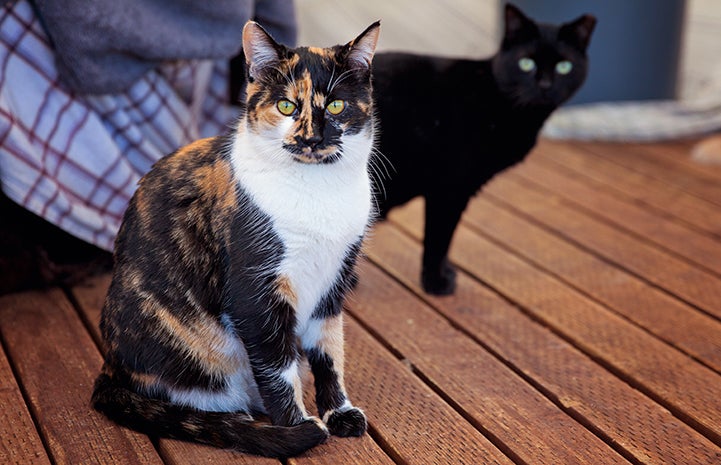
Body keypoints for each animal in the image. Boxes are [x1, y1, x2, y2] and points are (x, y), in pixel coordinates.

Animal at [91, 20, 376, 456]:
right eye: (286, 107)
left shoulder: (333, 282)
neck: (318, 190)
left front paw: (339, 412)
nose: (311, 138)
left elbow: (330, 350)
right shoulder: (254, 290)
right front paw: (298, 426)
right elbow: (278, 367)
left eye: (336, 107)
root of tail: (110, 368)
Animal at [372, 3, 596, 294]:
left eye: (564, 67)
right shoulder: (449, 190)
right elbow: (438, 241)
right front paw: (436, 282)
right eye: (526, 63)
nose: (545, 85)